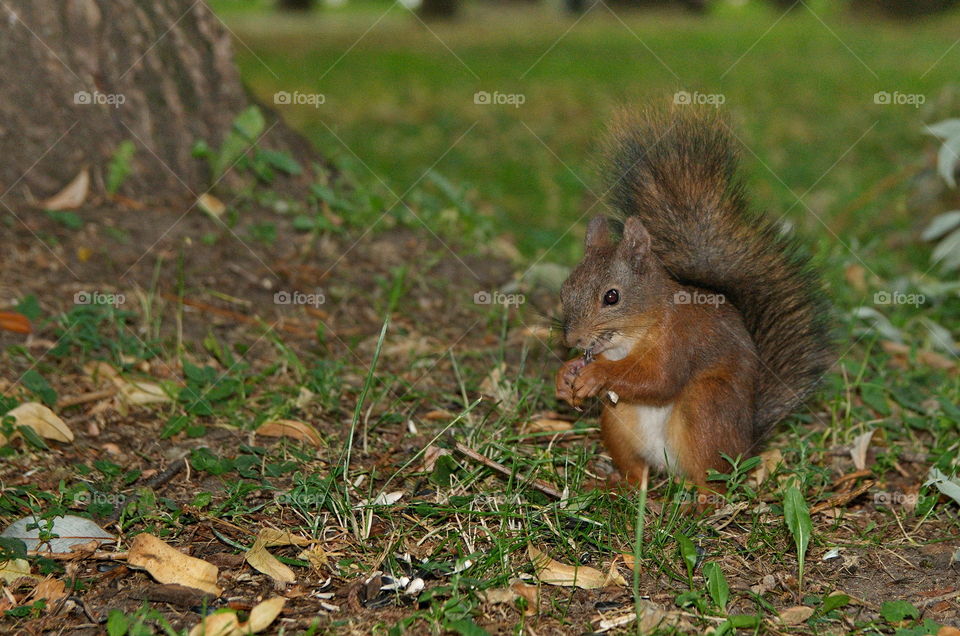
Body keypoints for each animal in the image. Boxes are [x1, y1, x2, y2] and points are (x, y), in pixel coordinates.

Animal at [556, 108, 833, 492]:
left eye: (611, 297)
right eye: (565, 290)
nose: (573, 339)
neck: (632, 336)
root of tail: (746, 445)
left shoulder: (682, 340)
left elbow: (660, 381)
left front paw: (596, 374)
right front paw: (566, 375)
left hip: (706, 408)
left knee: (711, 477)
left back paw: (701, 500)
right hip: (617, 421)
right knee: (636, 473)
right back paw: (618, 485)